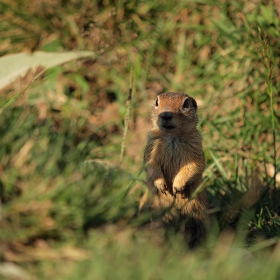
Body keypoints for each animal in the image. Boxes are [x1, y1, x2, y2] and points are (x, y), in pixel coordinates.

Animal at [144, 91, 206, 247]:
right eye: (156, 101)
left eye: (186, 103)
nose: (166, 115)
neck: (172, 136)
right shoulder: (151, 146)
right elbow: (152, 166)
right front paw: (162, 186)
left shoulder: (195, 148)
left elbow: (193, 167)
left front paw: (177, 187)